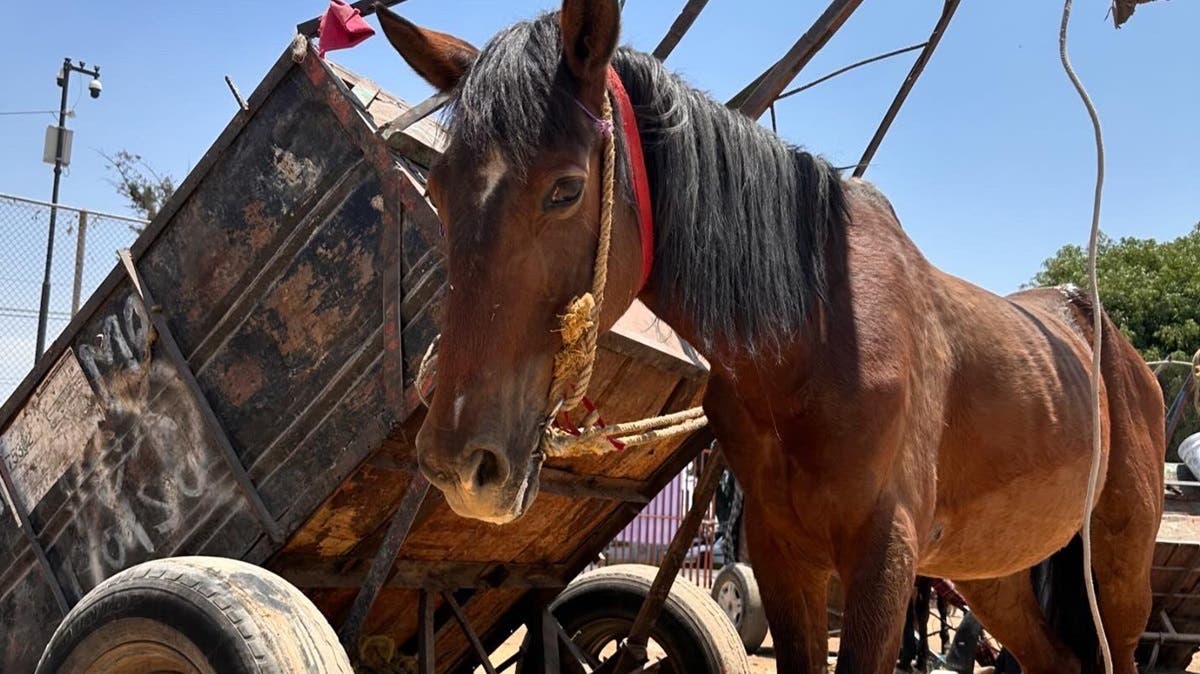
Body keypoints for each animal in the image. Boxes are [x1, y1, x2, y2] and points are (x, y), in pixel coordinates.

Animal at [376, 1, 1165, 671]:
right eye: (438, 185)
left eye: (566, 188)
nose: (457, 464)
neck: (817, 339)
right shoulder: (786, 559)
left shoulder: (883, 566)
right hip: (993, 570)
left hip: (1119, 569)